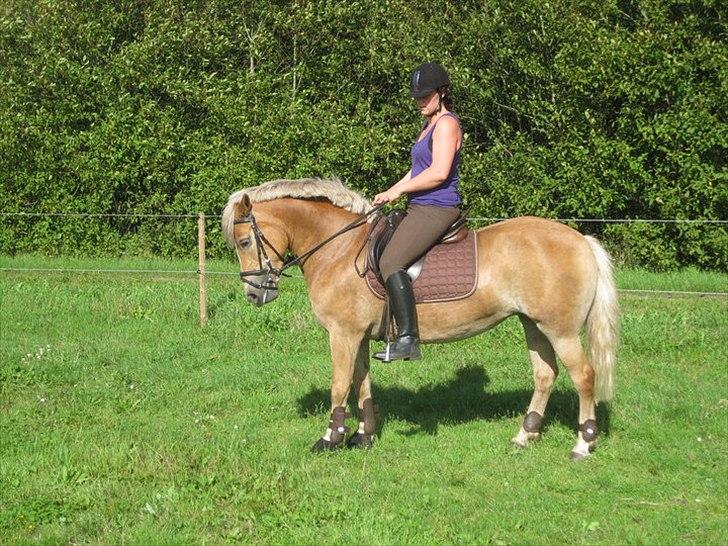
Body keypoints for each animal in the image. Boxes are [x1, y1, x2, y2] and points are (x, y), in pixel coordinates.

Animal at [223, 176, 620, 456]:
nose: (254, 294)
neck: (340, 249)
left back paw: (583, 444)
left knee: (584, 376)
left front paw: (330, 438)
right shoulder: (359, 336)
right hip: (533, 324)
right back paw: (525, 435)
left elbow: (340, 385)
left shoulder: (343, 334)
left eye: (244, 242)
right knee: (545, 375)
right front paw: (363, 436)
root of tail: (582, 240)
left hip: (561, 330)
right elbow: (362, 383)